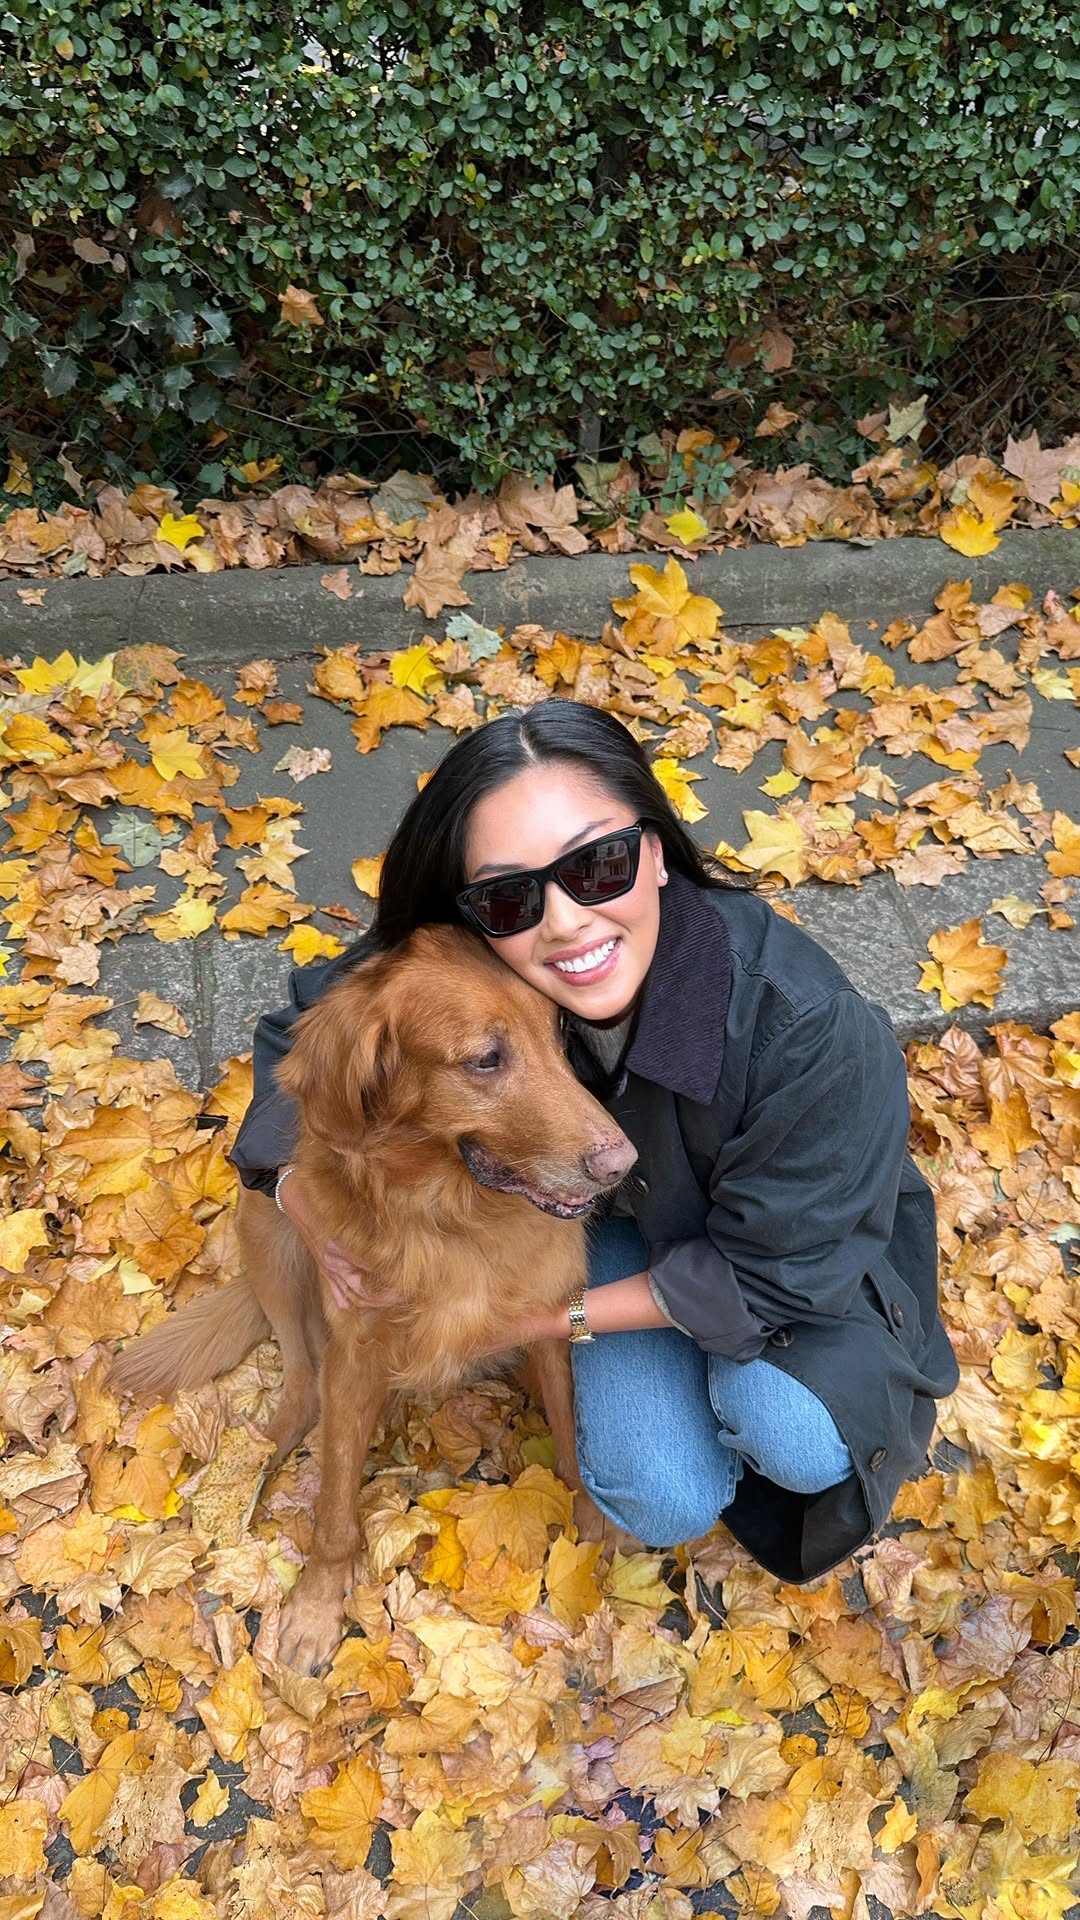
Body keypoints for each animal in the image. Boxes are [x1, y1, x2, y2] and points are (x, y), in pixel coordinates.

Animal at [111, 925, 638, 1672]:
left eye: (558, 1034)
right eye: (486, 1059)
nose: (623, 1165)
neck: (448, 1219)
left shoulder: (552, 1321)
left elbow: (569, 1435)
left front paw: (592, 1531)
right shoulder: (356, 1348)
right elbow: (335, 1503)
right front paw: (316, 1605)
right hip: (266, 1220)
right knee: (303, 1389)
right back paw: (254, 1463)